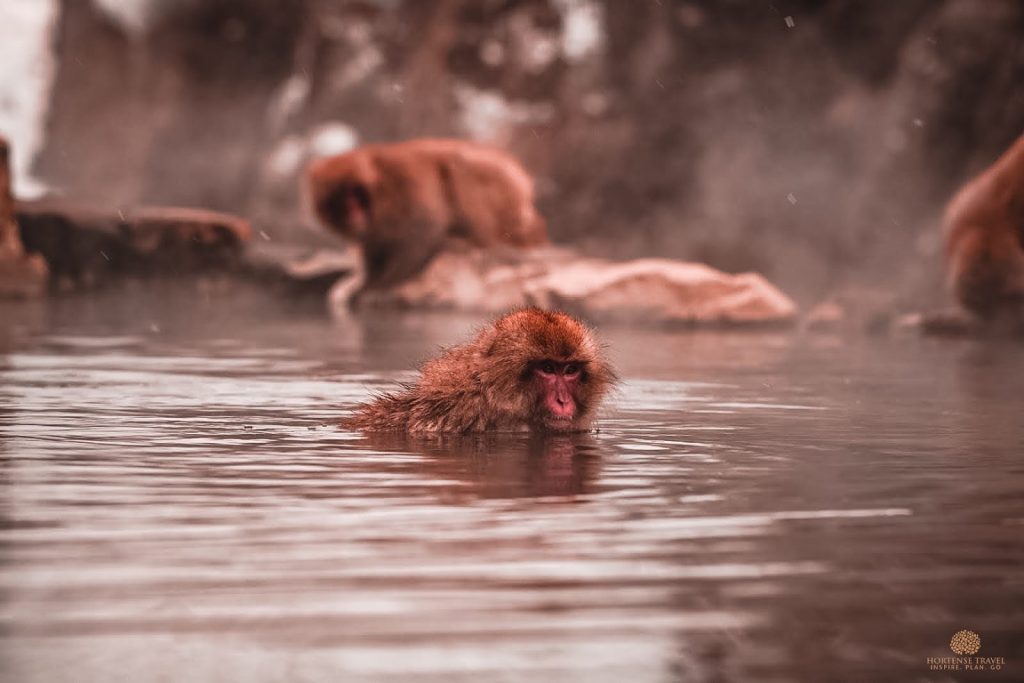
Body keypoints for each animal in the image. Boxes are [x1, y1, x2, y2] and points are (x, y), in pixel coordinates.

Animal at [303, 139, 548, 288]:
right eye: (340, 201)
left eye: (355, 196)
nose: (353, 213)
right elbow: (374, 246)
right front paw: (368, 277)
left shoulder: (406, 185)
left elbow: (423, 230)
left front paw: (380, 284)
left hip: (507, 203)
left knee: (460, 166)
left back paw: (472, 241)